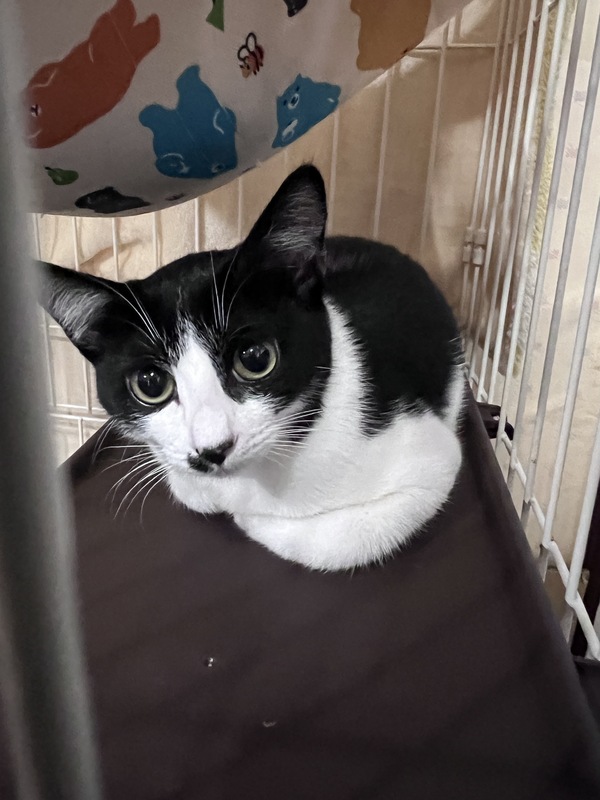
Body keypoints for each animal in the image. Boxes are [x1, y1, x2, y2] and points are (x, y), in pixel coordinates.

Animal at [38, 165, 464, 571]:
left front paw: (251, 519)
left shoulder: (427, 460)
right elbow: (187, 486)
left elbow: (341, 538)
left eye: (256, 359)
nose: (212, 450)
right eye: (150, 383)